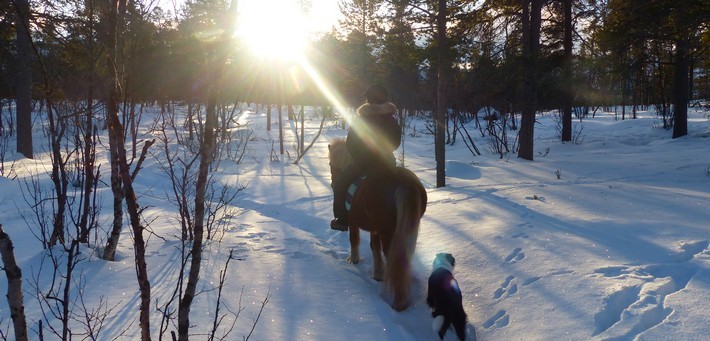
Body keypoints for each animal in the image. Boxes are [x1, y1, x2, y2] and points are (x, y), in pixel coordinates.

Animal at [328, 137, 428, 310]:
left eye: (330, 165)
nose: (333, 184)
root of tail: (404, 184)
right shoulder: (376, 229)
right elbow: (374, 248)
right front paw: (378, 274)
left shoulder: (354, 223)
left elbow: (354, 240)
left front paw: (354, 260)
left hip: (388, 233)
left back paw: (398, 303)